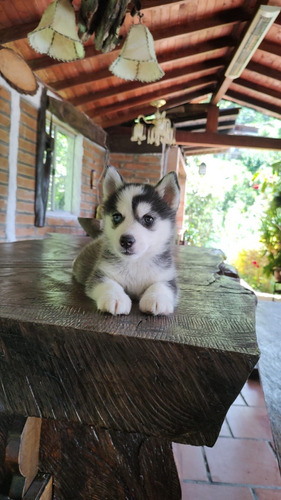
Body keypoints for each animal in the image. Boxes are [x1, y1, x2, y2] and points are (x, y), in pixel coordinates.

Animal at [72, 168, 179, 316]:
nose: (126, 241)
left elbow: (161, 285)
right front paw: (115, 297)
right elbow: (108, 283)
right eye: (117, 217)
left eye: (148, 219)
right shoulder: (100, 273)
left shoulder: (167, 276)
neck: (135, 263)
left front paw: (157, 298)